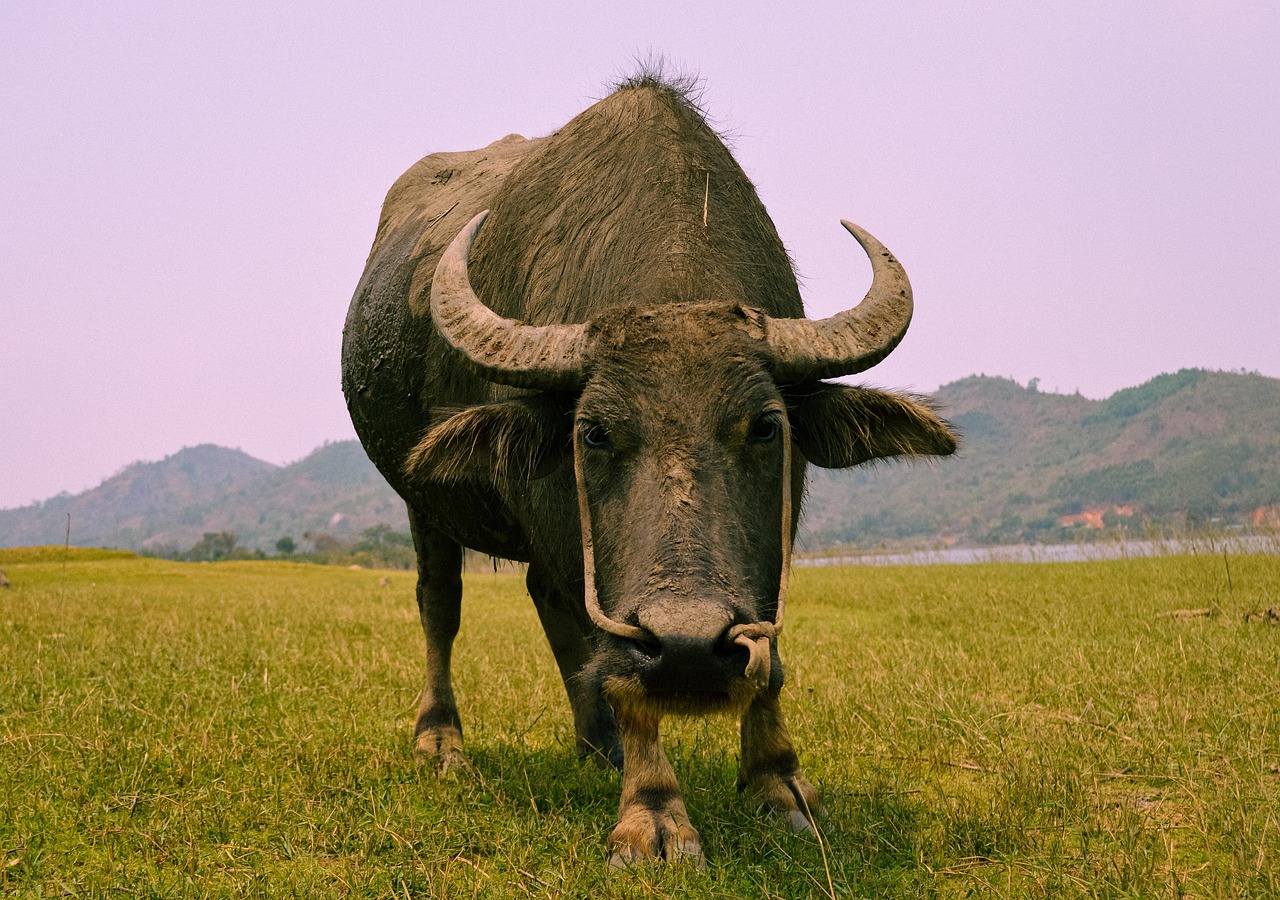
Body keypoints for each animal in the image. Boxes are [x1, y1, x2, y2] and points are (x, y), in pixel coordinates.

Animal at [342, 74, 958, 865]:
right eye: (595, 432)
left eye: (765, 426)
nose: (689, 651)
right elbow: (619, 667)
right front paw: (654, 815)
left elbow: (769, 653)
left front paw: (778, 784)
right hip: (425, 503)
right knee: (441, 603)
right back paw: (443, 742)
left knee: (549, 603)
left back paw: (596, 746)